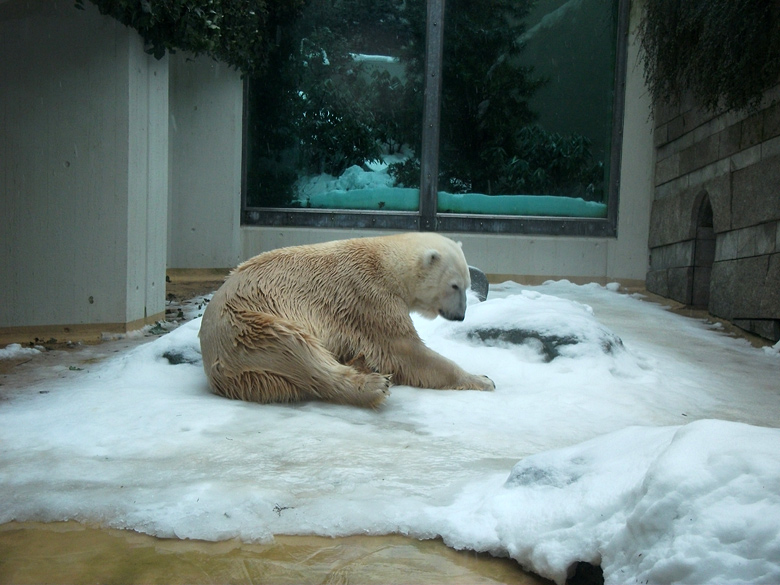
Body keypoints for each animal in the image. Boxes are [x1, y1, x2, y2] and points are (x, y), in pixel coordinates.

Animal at [200, 233, 494, 406]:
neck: (384, 261)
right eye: (455, 286)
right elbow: (405, 352)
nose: (460, 315)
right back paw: (373, 384)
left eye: (467, 285)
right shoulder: (367, 299)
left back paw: (361, 364)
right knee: (298, 351)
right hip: (248, 327)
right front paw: (483, 379)